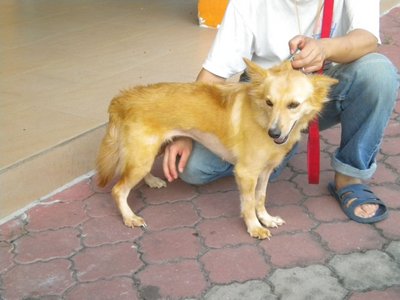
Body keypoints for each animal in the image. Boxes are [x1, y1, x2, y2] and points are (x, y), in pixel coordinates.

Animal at [96, 59, 338, 240]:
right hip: (142, 157)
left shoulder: (265, 171)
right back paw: (129, 217)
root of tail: (122, 98)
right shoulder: (245, 173)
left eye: (293, 105)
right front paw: (254, 227)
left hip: (149, 152)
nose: (274, 133)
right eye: (269, 102)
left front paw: (266, 218)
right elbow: (249, 203)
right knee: (118, 190)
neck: (261, 118)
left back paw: (152, 181)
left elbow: (260, 197)